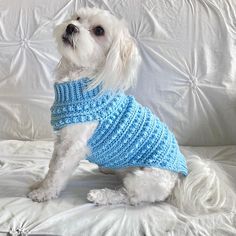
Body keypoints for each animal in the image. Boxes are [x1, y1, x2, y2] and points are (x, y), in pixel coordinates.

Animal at [27, 6, 234, 214]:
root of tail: (179, 175)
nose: (71, 27)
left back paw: (101, 195)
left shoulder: (73, 145)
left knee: (129, 197)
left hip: (142, 179)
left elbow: (58, 171)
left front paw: (43, 193)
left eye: (99, 31)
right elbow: (52, 165)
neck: (80, 81)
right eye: (77, 18)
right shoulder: (62, 140)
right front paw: (40, 184)